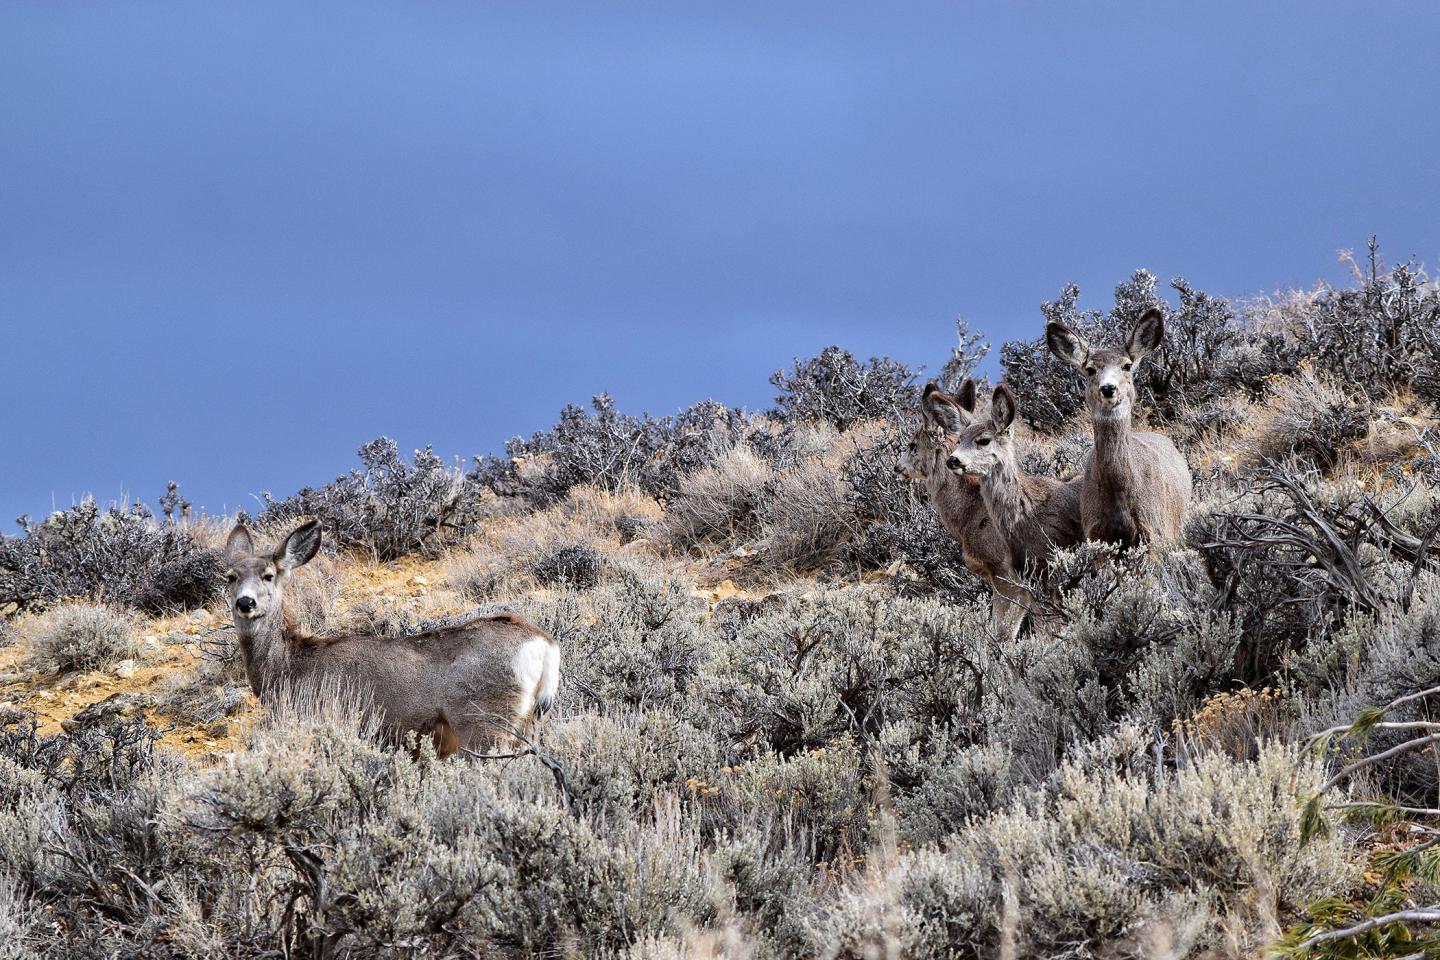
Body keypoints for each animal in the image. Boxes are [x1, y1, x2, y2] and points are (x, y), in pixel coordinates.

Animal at [222, 519, 561, 756]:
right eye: (230, 577)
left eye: (268, 575)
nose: (245, 603)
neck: (288, 668)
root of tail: (544, 644)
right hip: (531, 722)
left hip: (485, 722)